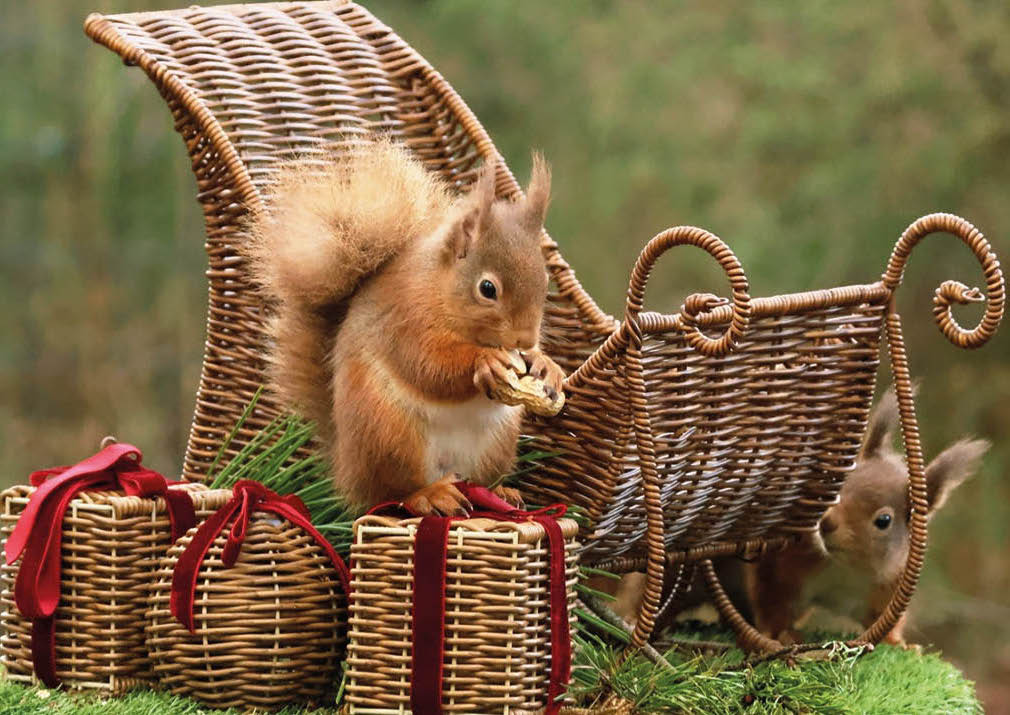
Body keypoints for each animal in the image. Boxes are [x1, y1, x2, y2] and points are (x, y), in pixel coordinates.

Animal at [244, 139, 566, 515]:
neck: (439, 290)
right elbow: (428, 365)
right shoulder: (406, 317)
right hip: (389, 435)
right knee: (394, 494)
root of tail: (346, 470)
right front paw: (484, 361)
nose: (525, 340)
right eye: (488, 289)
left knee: (478, 482)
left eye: (545, 281)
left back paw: (500, 492)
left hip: (495, 444)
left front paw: (546, 365)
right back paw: (431, 495)